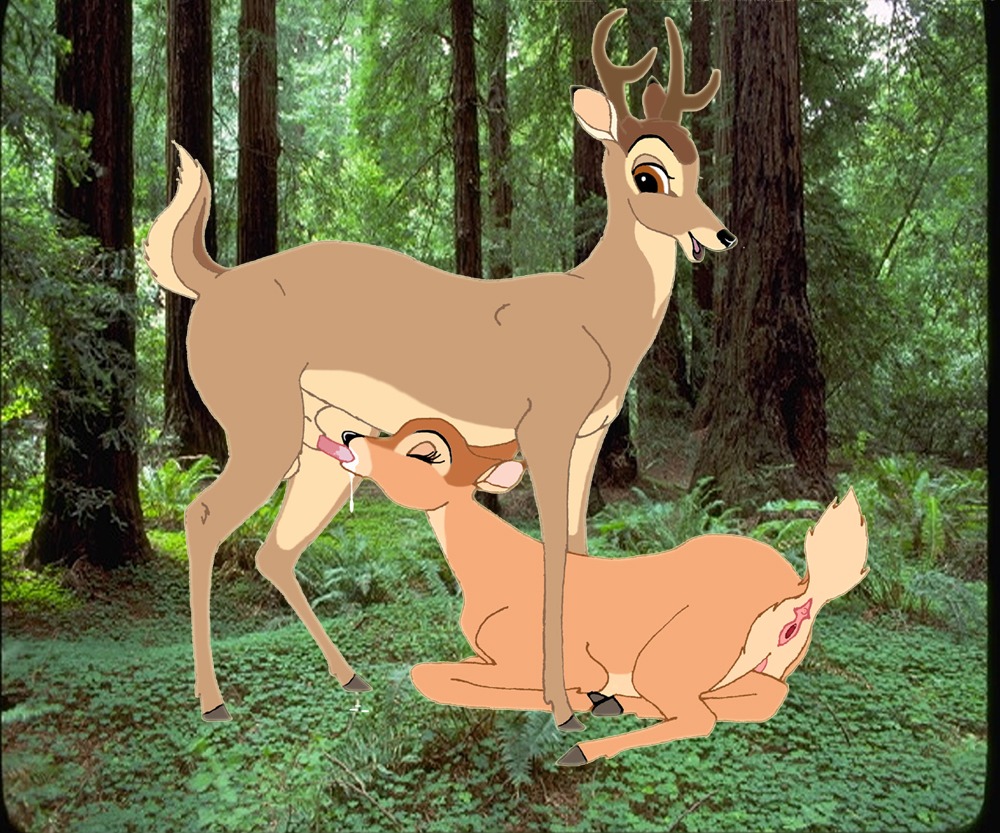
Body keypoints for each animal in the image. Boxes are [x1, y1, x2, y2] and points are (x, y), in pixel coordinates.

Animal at [143, 9, 735, 727]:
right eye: (648, 174)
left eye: (697, 164)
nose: (721, 236)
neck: (596, 315)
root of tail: (214, 281)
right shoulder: (544, 426)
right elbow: (551, 556)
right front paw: (561, 704)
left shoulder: (591, 435)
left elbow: (577, 544)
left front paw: (598, 694)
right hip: (260, 424)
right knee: (202, 517)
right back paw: (213, 702)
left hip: (322, 442)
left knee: (274, 548)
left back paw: (350, 677)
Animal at [329, 418, 870, 766]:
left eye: (425, 452)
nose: (349, 435)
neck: (496, 574)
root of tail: (801, 589)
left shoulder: (557, 652)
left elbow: (429, 674)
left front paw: (568, 704)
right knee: (758, 696)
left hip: (671, 653)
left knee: (704, 716)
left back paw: (585, 741)